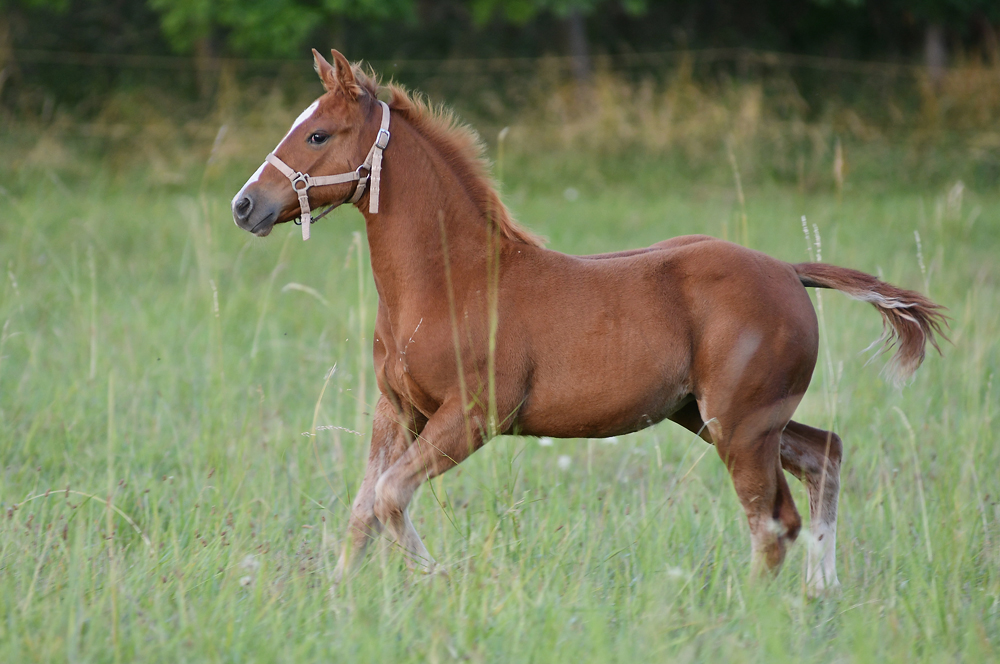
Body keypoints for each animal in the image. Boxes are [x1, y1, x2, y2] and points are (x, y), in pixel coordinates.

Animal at [232, 49, 944, 592]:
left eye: (318, 135)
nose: (245, 205)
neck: (450, 281)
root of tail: (789, 272)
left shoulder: (474, 415)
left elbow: (388, 497)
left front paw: (441, 580)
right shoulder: (397, 408)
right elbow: (363, 508)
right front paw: (339, 598)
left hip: (740, 427)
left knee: (772, 523)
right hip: (717, 418)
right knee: (824, 456)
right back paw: (820, 593)